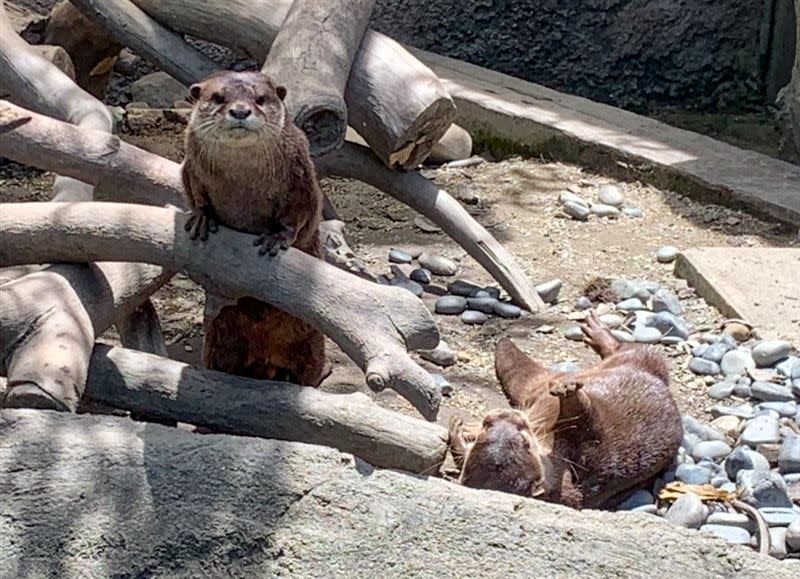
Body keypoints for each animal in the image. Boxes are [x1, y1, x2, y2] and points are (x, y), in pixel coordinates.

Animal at [183, 72, 326, 388]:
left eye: (260, 98)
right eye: (218, 97)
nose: (240, 111)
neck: (241, 182)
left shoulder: (300, 175)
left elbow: (300, 213)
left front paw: (276, 237)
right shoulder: (190, 168)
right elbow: (195, 193)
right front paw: (202, 217)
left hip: (311, 343)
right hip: (220, 339)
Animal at [450, 312, 680, 512]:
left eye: (525, 443)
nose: (504, 416)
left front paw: (457, 432)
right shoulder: (588, 451)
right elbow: (587, 418)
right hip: (642, 358)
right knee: (628, 348)